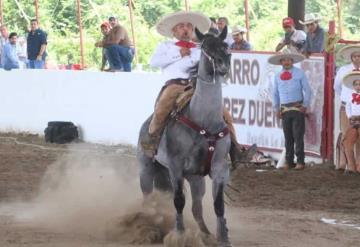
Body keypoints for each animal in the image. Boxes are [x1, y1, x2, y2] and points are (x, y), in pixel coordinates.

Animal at [136, 27, 232, 247]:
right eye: (205, 47)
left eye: (225, 46)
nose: (223, 64)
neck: (205, 122)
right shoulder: (175, 167)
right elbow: (178, 201)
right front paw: (179, 235)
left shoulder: (219, 167)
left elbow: (218, 205)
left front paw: (222, 238)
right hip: (146, 170)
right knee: (148, 200)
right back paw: (148, 229)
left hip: (195, 178)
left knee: (197, 207)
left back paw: (206, 235)